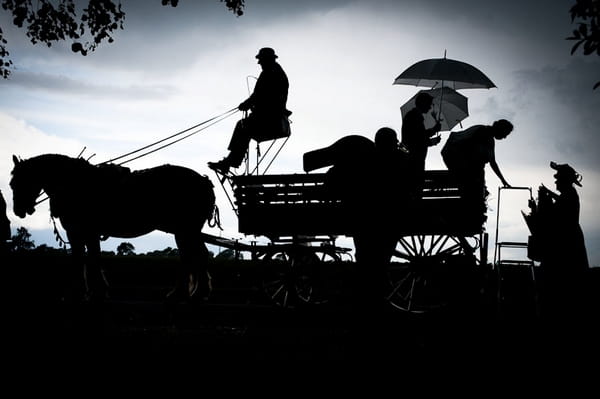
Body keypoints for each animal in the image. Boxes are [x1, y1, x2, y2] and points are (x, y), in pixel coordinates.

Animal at [9, 154, 216, 304]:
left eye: (19, 181)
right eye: (12, 184)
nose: (18, 210)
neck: (75, 183)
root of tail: (204, 181)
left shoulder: (81, 232)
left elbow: (87, 260)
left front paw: (88, 292)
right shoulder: (83, 233)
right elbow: (88, 259)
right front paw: (90, 292)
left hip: (185, 230)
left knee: (192, 257)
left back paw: (185, 293)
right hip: (187, 231)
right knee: (196, 256)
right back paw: (196, 292)